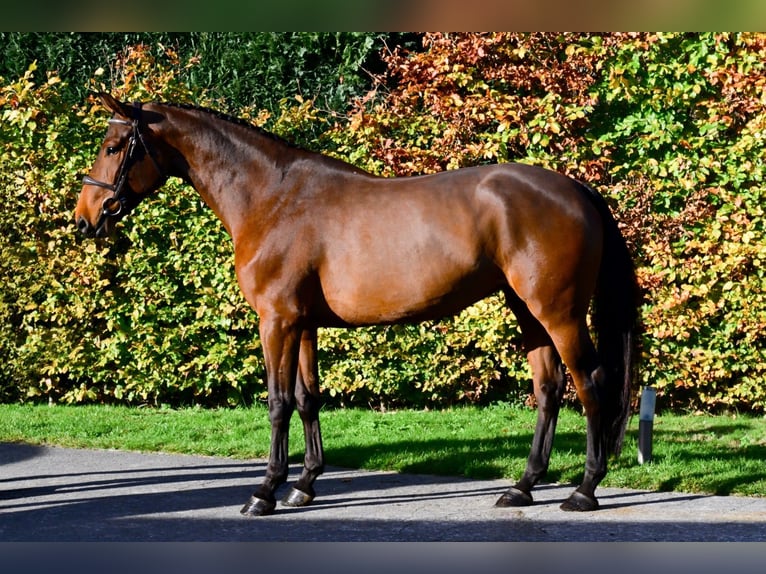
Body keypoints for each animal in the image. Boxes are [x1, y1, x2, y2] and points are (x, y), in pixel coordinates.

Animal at [75, 93, 640, 516]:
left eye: (115, 144)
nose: (84, 218)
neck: (272, 198)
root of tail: (575, 188)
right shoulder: (303, 324)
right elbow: (307, 399)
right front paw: (304, 485)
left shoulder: (276, 321)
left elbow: (278, 403)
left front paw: (265, 492)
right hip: (528, 312)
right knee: (548, 389)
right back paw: (522, 486)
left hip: (559, 313)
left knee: (591, 384)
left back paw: (584, 490)